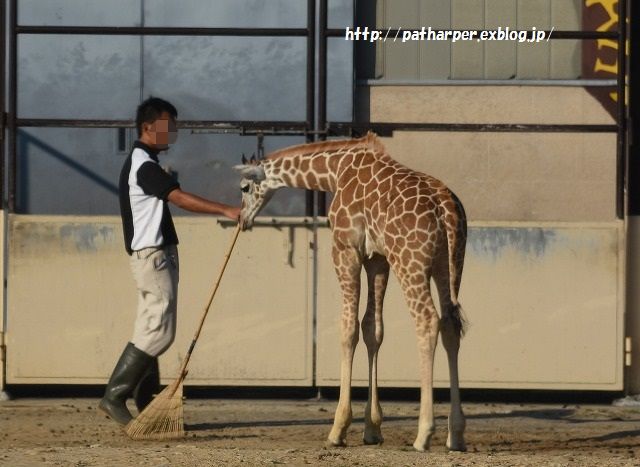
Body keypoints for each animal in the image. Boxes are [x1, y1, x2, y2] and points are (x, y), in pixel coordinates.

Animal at [232, 132, 468, 454]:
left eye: (244, 187)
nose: (242, 220)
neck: (335, 171)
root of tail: (446, 209)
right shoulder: (378, 259)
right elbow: (373, 329)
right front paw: (372, 428)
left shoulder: (346, 250)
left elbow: (348, 329)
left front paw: (338, 429)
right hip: (447, 265)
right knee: (449, 326)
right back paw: (455, 435)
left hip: (411, 263)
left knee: (427, 321)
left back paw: (423, 434)